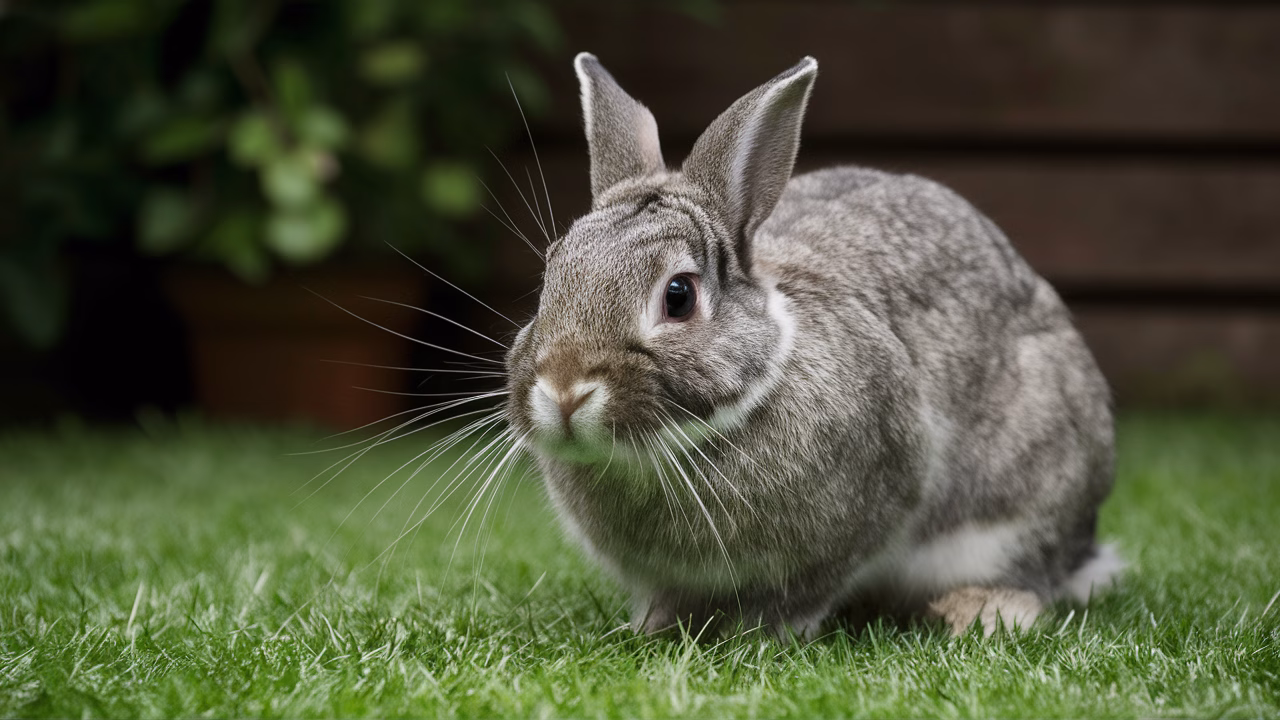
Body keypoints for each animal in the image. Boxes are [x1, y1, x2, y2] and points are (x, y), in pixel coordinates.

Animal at [503, 52, 1120, 639]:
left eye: (678, 296)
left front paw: (763, 633)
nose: (564, 390)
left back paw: (978, 612)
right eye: (551, 277)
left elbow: (805, 590)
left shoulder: (871, 507)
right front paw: (656, 626)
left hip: (1019, 502)